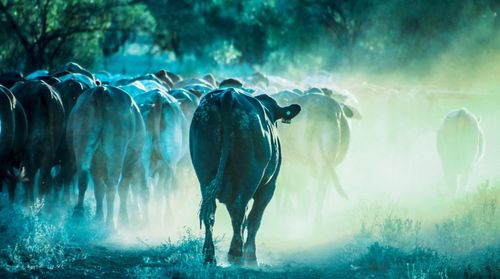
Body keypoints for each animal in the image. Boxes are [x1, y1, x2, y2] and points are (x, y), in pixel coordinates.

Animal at [70, 86, 148, 228]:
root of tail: (102, 89)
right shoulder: (131, 161)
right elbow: (123, 188)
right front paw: (123, 218)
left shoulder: (96, 167)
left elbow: (99, 190)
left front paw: (98, 217)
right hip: (115, 150)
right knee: (112, 185)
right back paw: (111, 223)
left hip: (82, 144)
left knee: (83, 179)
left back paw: (78, 214)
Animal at [190, 87, 300, 264]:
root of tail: (228, 94)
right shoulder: (269, 187)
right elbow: (255, 218)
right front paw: (250, 254)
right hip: (249, 177)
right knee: (239, 210)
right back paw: (236, 254)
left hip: (205, 175)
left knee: (211, 213)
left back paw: (209, 255)